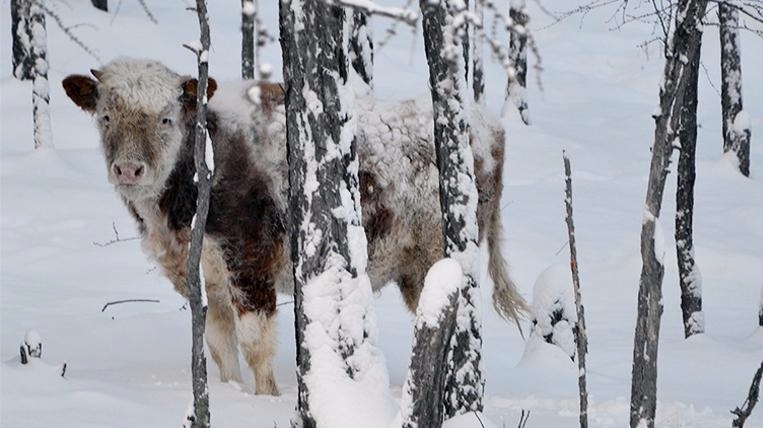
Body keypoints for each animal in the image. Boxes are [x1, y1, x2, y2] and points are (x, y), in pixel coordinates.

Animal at [62, 58, 524, 396]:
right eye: (106, 116)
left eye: (165, 119)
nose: (128, 169)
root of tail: (488, 126)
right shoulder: (202, 281)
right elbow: (220, 347)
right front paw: (232, 396)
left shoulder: (250, 266)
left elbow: (256, 346)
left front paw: (265, 401)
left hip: (437, 258)